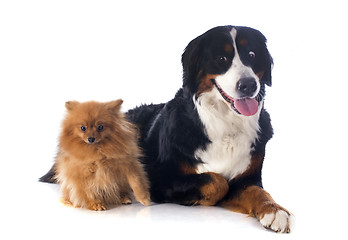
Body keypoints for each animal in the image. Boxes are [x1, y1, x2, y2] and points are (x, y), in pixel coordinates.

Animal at [40, 25, 294, 232]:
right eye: (221, 58)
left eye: (252, 55)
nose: (249, 85)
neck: (225, 123)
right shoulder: (160, 178)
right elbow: (216, 181)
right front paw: (202, 198)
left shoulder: (248, 178)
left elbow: (259, 192)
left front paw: (275, 211)